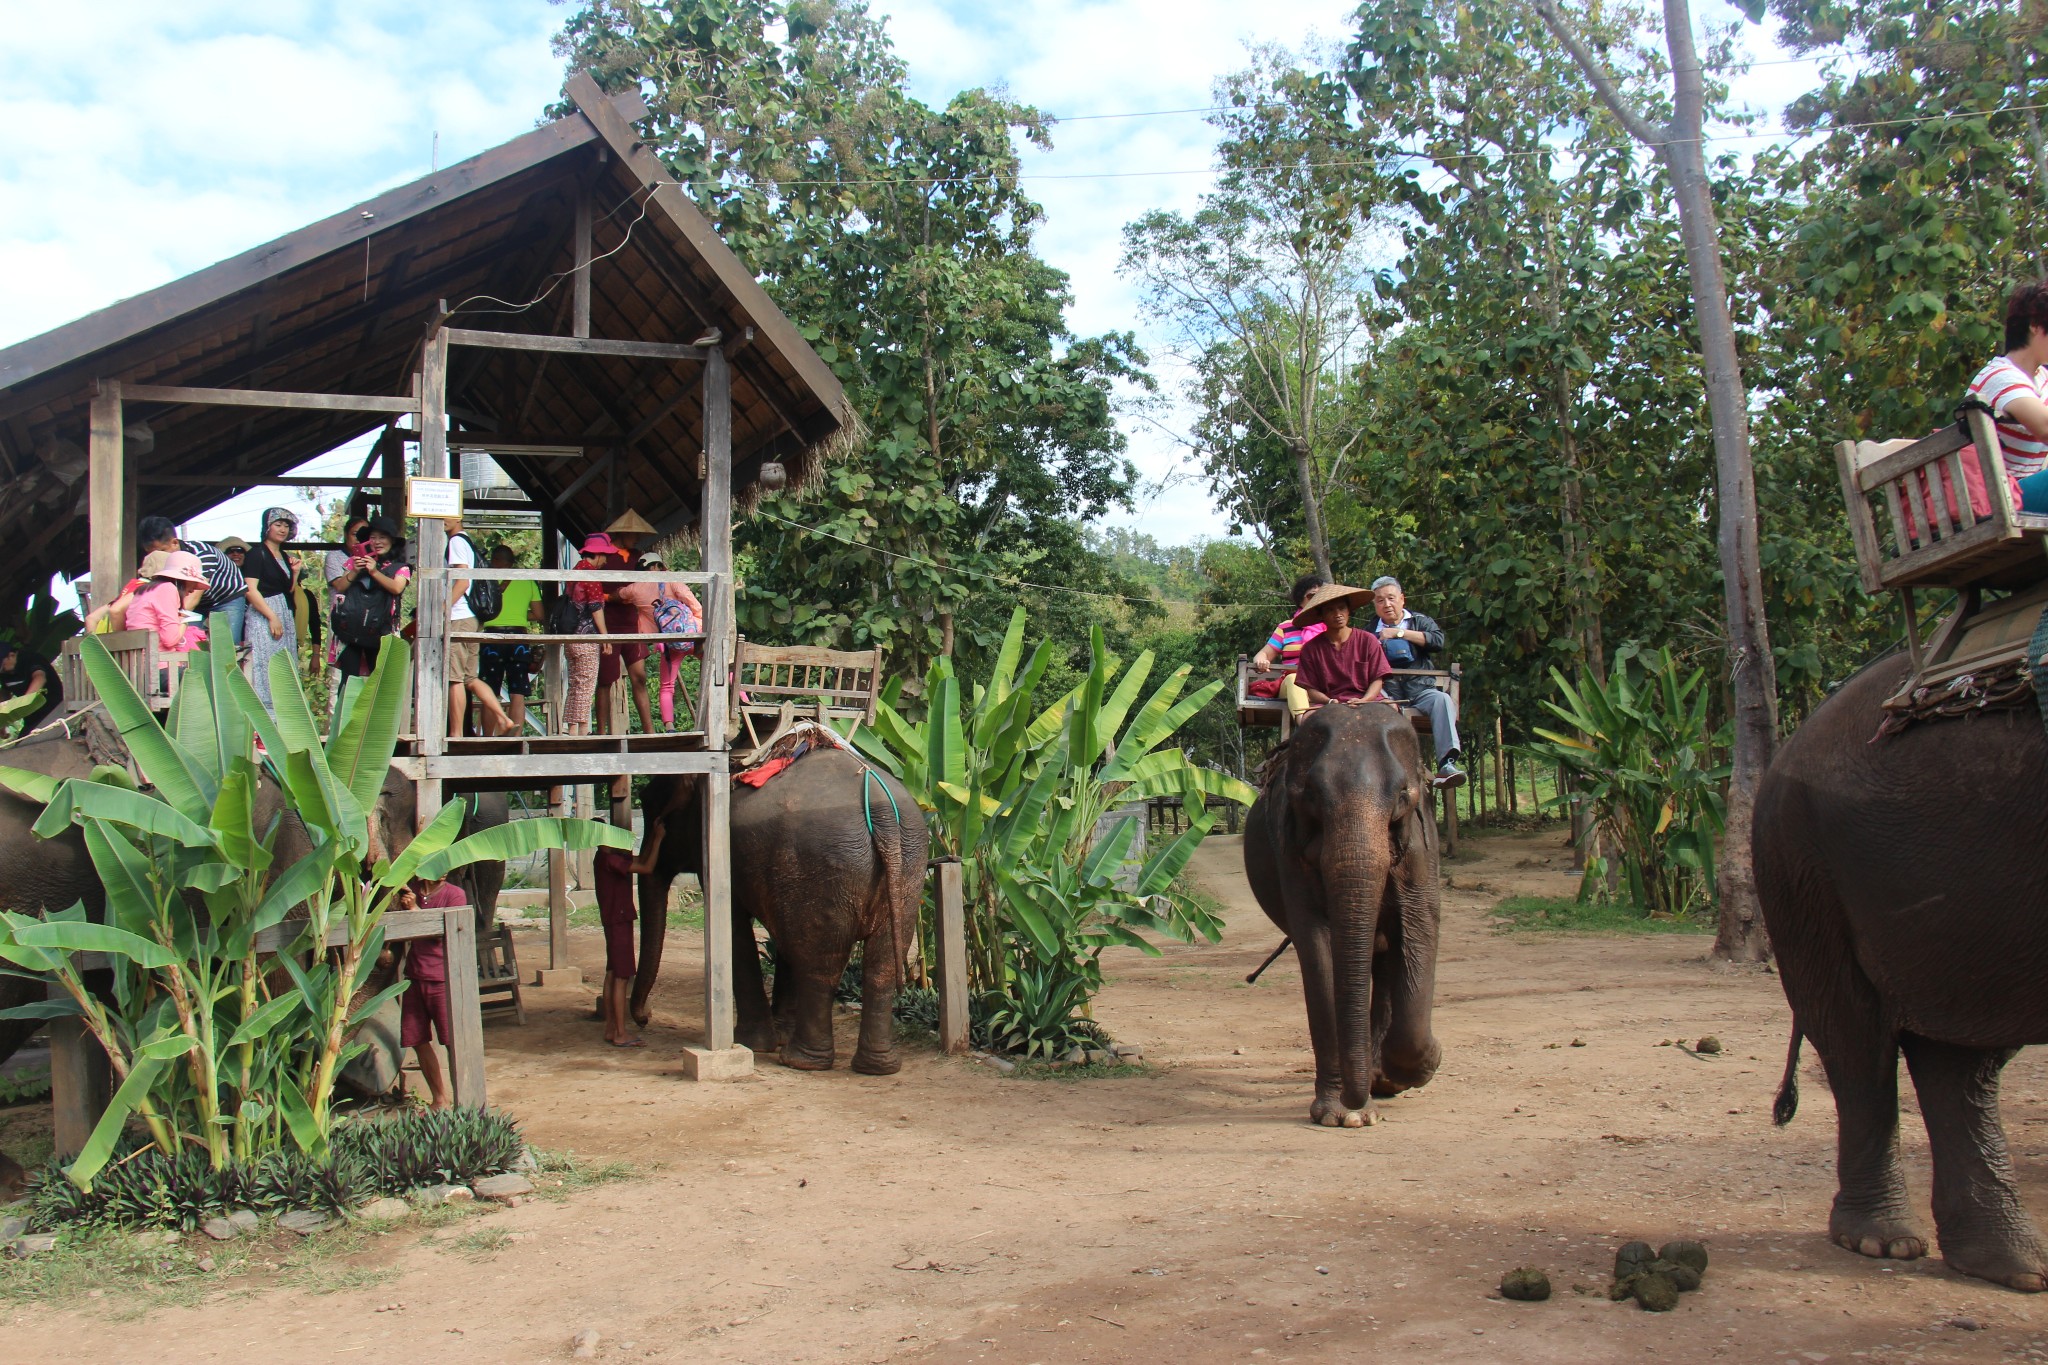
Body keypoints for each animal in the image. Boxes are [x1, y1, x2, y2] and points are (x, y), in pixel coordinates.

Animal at [634, 749, 933, 1080]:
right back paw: (877, 1067)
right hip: (908, 866)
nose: (645, 1017)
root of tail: (880, 810)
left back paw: (800, 1061)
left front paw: (753, 1042)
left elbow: (737, 929)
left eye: (653, 810)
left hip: (822, 866)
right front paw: (778, 1034)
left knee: (820, 964)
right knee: (879, 965)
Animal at [1236, 699, 1449, 1129]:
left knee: (1385, 958)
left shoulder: (1423, 844)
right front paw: (1341, 1115)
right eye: (1310, 797)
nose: (1355, 1102)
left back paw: (1381, 1079)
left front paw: (1426, 1061)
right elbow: (1316, 945)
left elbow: (1420, 926)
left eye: (1402, 796)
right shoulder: (1288, 849)